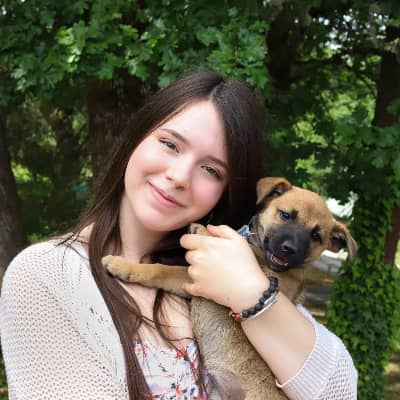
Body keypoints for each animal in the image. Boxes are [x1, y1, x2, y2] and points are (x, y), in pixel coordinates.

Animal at [102, 177, 357, 399]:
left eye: (316, 236)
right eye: (286, 215)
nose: (289, 249)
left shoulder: (275, 283)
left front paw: (205, 231)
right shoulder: (192, 282)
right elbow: (160, 271)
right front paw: (124, 266)